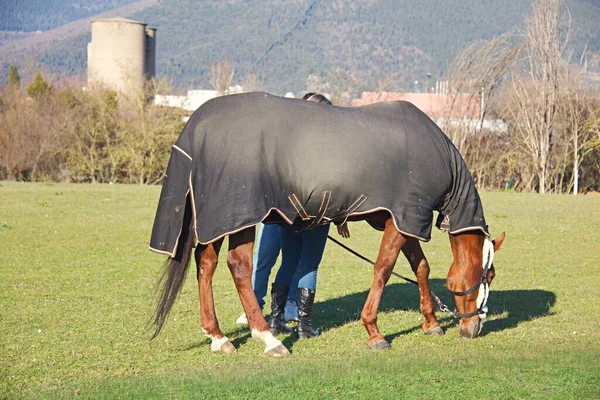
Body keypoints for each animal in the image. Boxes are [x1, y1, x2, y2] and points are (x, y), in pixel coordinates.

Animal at [148, 93, 504, 356]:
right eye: (489, 275)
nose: (475, 328)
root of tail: (196, 125)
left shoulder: (404, 220)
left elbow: (422, 268)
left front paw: (431, 322)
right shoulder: (404, 218)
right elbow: (384, 268)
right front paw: (374, 331)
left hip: (217, 222)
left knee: (206, 264)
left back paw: (218, 336)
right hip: (238, 217)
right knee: (239, 267)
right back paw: (268, 338)